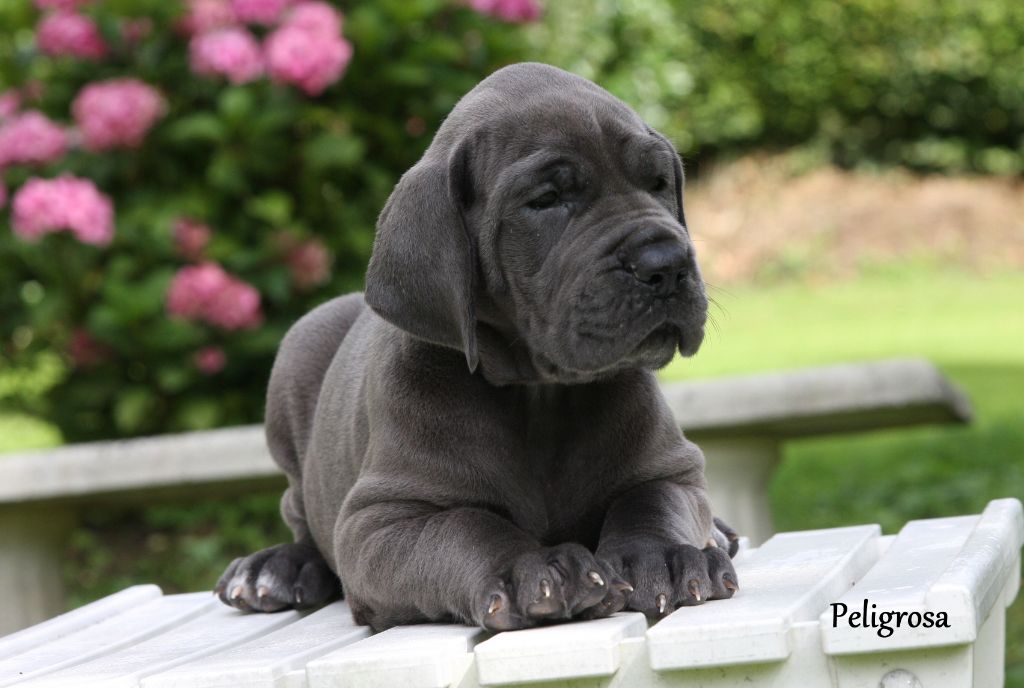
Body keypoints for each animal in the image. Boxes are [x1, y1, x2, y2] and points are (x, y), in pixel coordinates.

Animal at [215, 62, 739, 632]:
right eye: (546, 201)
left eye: (657, 182)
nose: (666, 263)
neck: (540, 394)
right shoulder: (376, 522)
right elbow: (464, 527)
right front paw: (534, 566)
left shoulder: (674, 468)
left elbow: (654, 500)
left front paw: (660, 557)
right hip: (300, 350)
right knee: (302, 520)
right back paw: (274, 568)